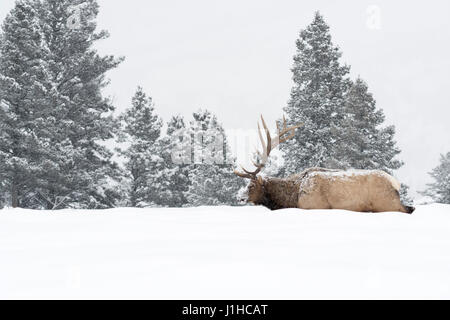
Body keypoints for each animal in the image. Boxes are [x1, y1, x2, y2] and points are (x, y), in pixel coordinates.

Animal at [236, 116, 414, 214]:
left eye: (251, 185)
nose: (239, 198)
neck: (292, 197)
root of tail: (395, 183)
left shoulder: (313, 205)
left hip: (386, 203)